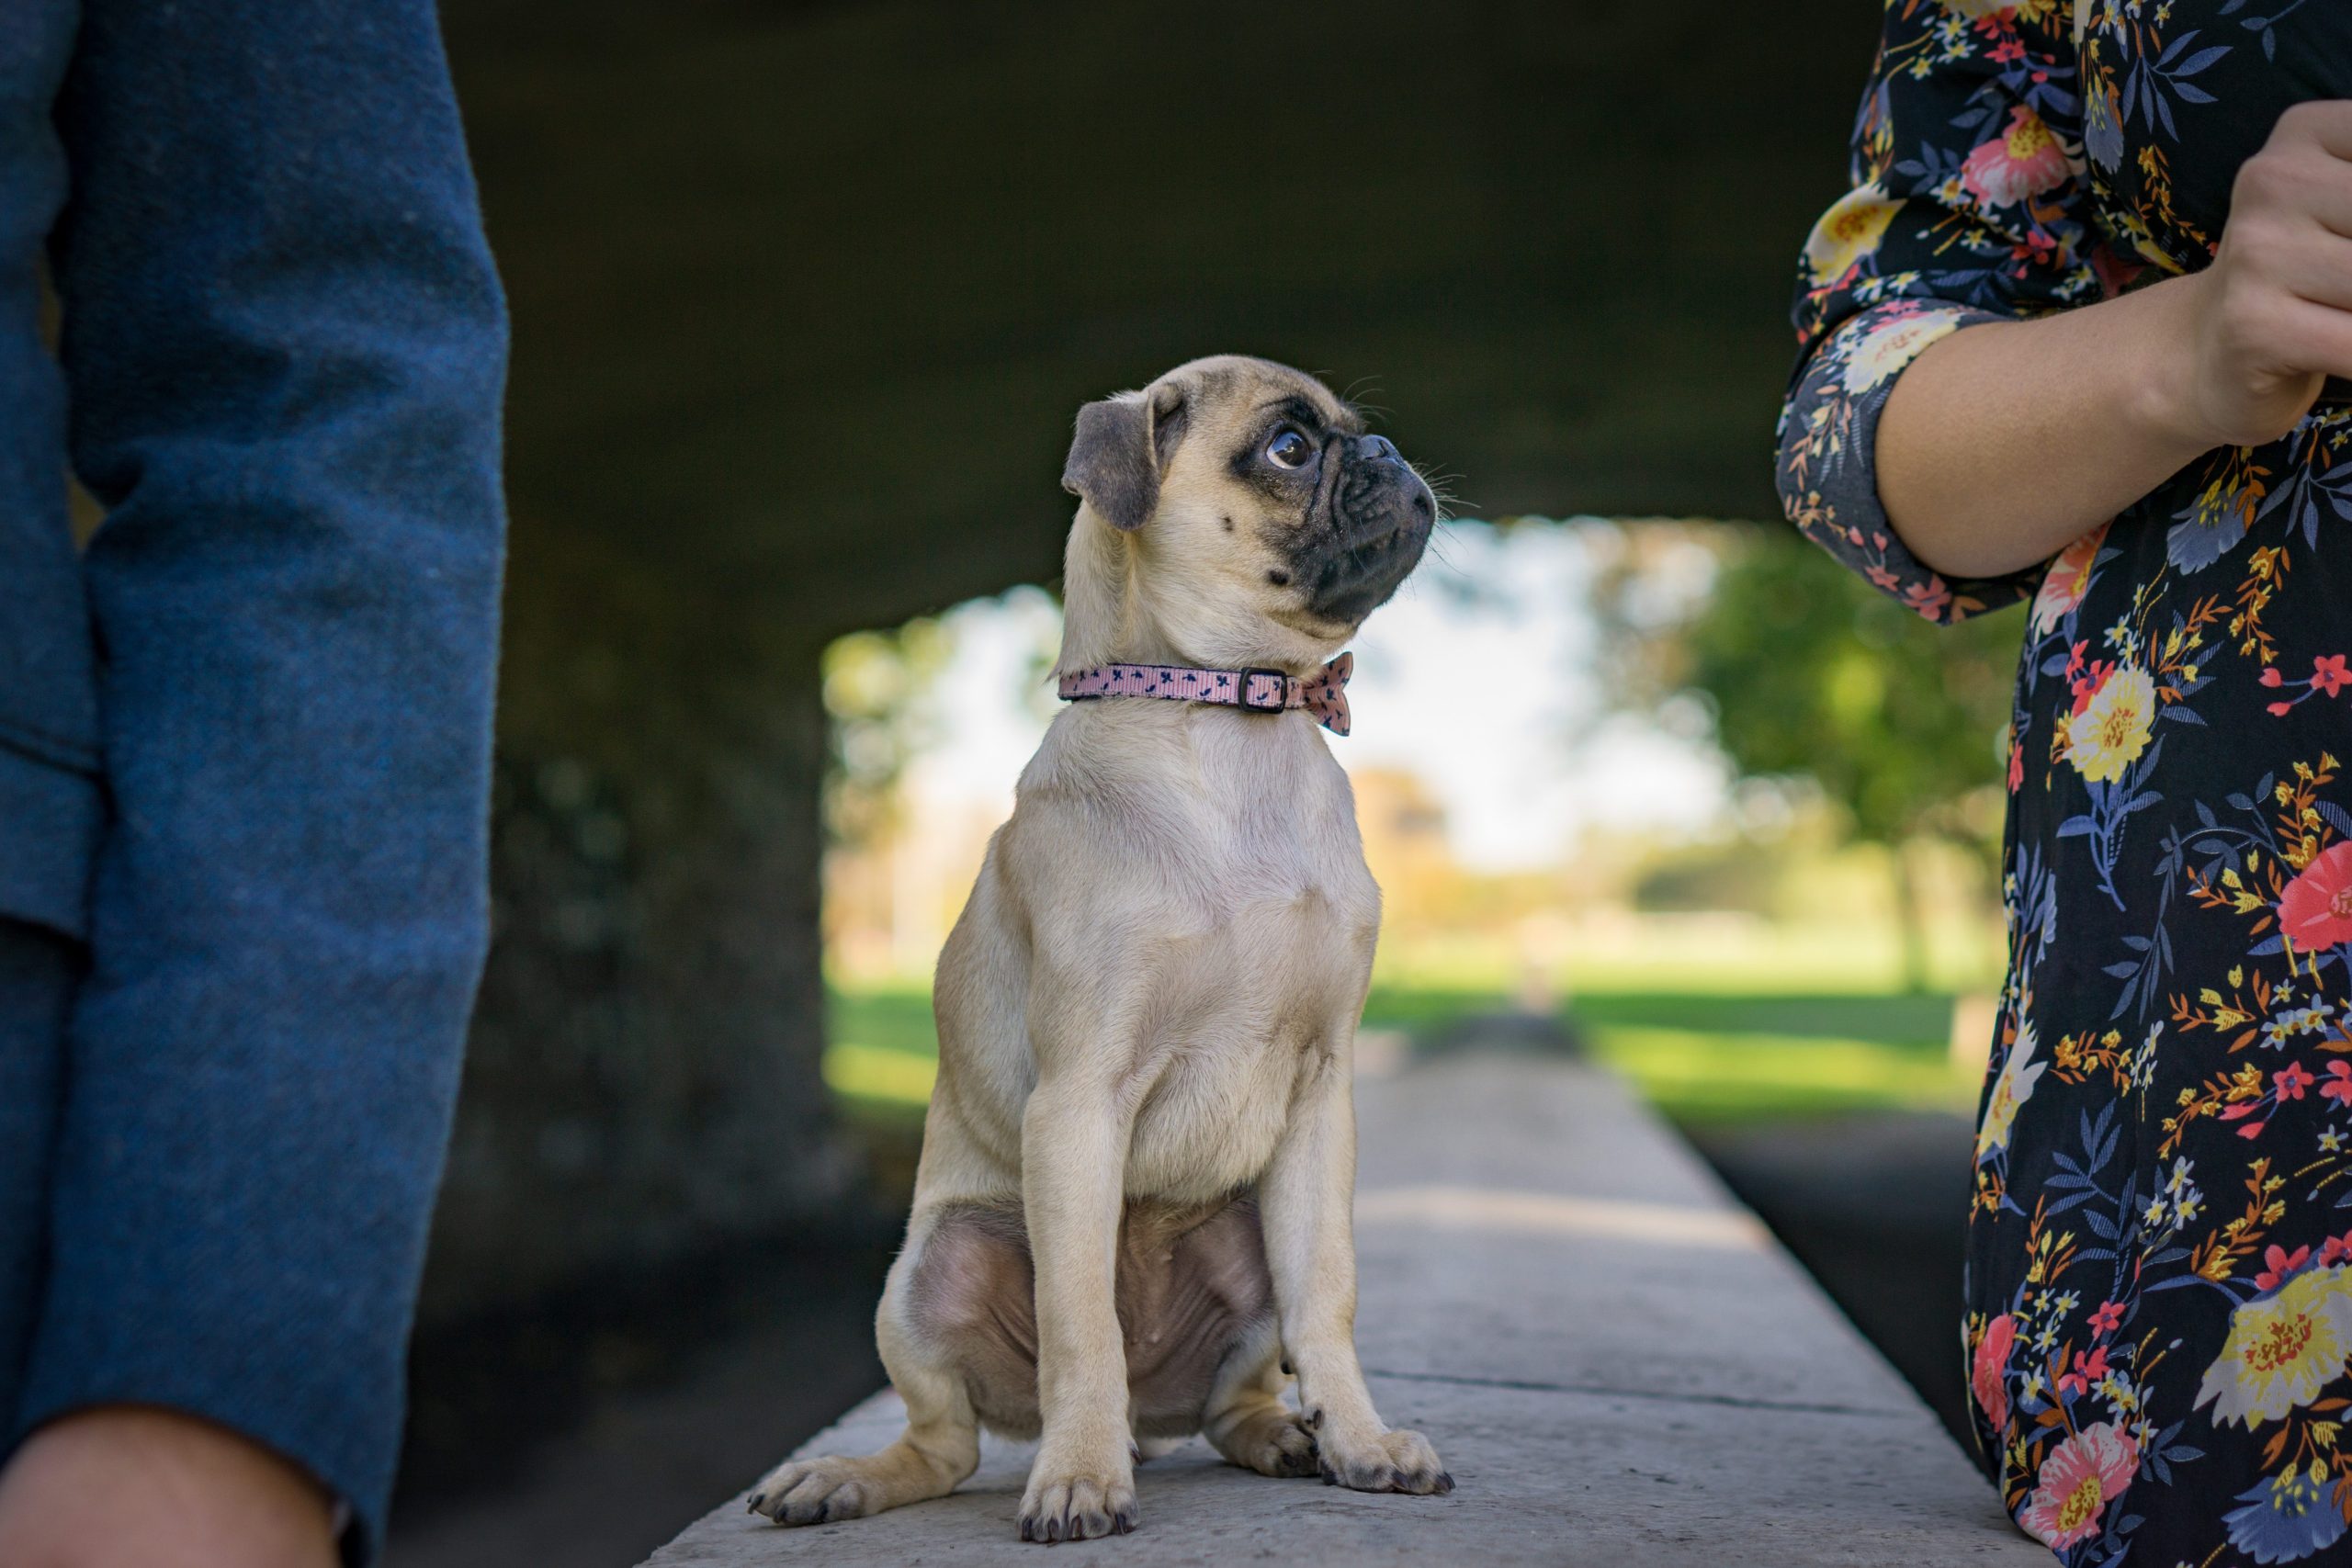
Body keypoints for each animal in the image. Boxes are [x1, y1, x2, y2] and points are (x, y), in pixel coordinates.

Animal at [742, 355, 1439, 1541]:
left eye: (1357, 430)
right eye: (1291, 447)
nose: (1390, 454)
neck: (1229, 721)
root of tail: (1153, 1425)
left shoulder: (1319, 1098)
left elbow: (1329, 1297)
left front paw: (1359, 1440)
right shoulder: (1077, 1102)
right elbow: (1080, 1325)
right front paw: (1076, 1475)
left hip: (1242, 1246)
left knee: (1234, 1400)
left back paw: (1284, 1438)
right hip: (933, 1272)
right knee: (945, 1444)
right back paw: (855, 1478)